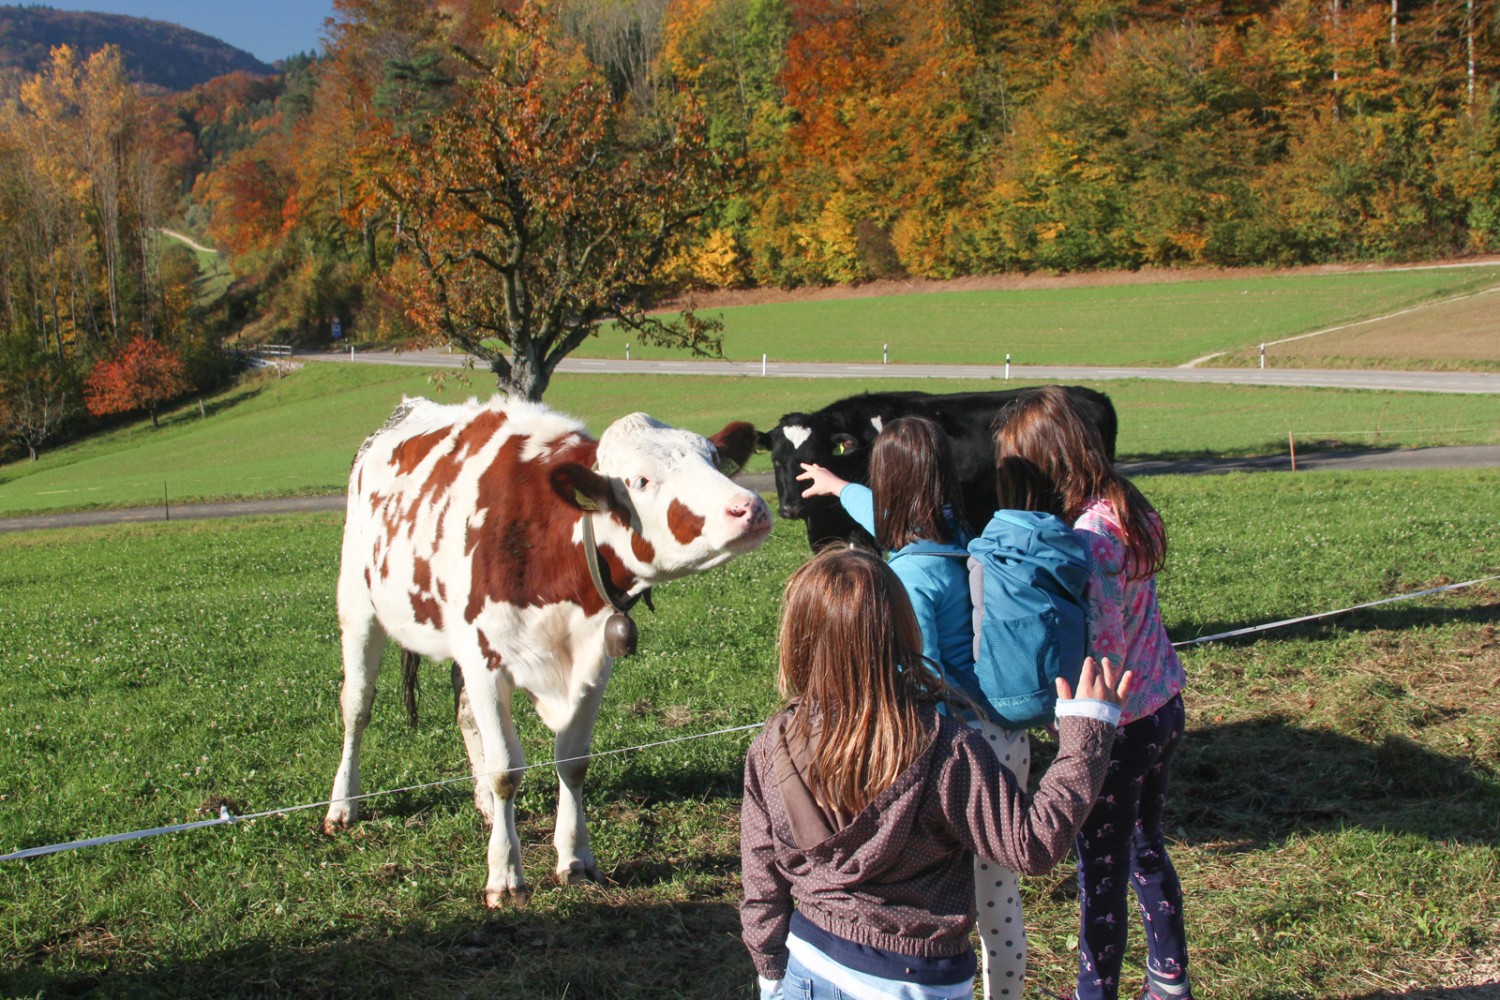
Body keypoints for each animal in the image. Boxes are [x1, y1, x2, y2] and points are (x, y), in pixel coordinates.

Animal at [321, 395, 768, 905]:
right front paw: (505, 875)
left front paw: (575, 860)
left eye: (713, 460)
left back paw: (483, 804)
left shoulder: (593, 659)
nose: (750, 507)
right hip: (358, 605)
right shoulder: (486, 662)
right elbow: (506, 770)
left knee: (465, 713)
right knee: (357, 706)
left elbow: (573, 762)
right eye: (640, 480)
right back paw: (342, 805)